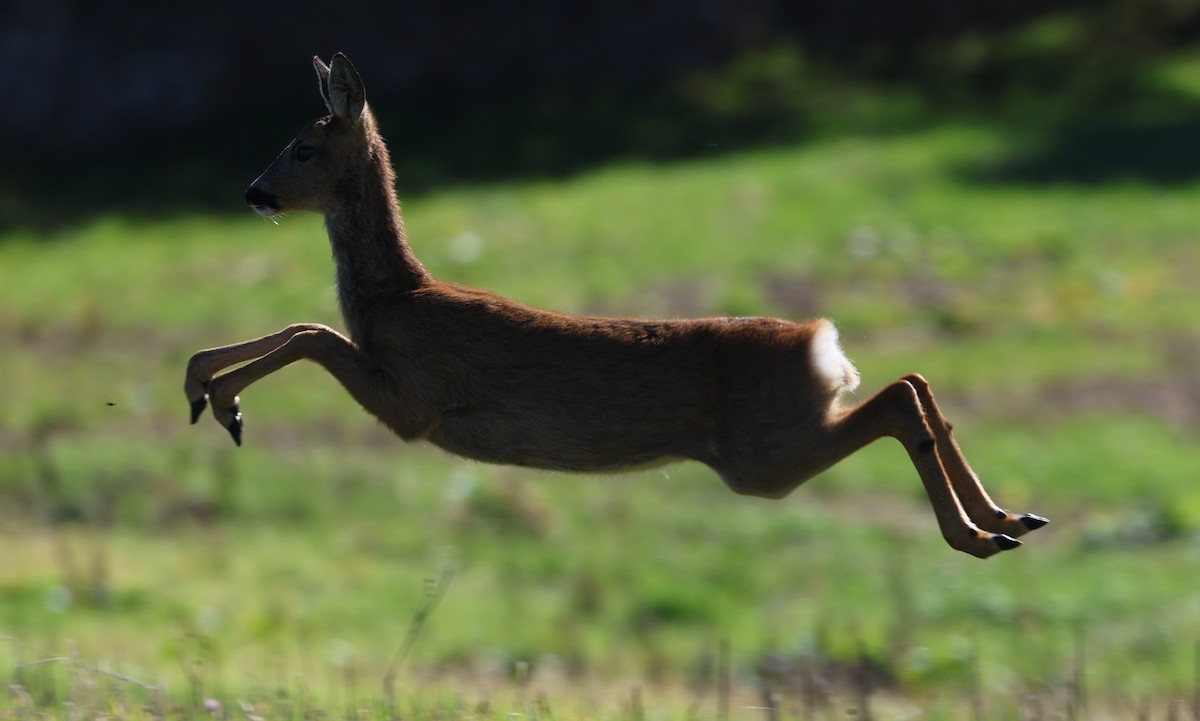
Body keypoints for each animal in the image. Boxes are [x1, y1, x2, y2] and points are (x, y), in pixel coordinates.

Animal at [185, 53, 1047, 559]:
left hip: (761, 452)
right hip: (783, 433)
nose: (254, 191)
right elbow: (308, 326)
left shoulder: (416, 402)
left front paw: (217, 397)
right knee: (917, 384)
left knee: (899, 397)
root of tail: (818, 339)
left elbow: (313, 331)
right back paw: (1012, 520)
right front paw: (204, 386)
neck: (401, 295)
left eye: (301, 146)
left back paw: (978, 535)